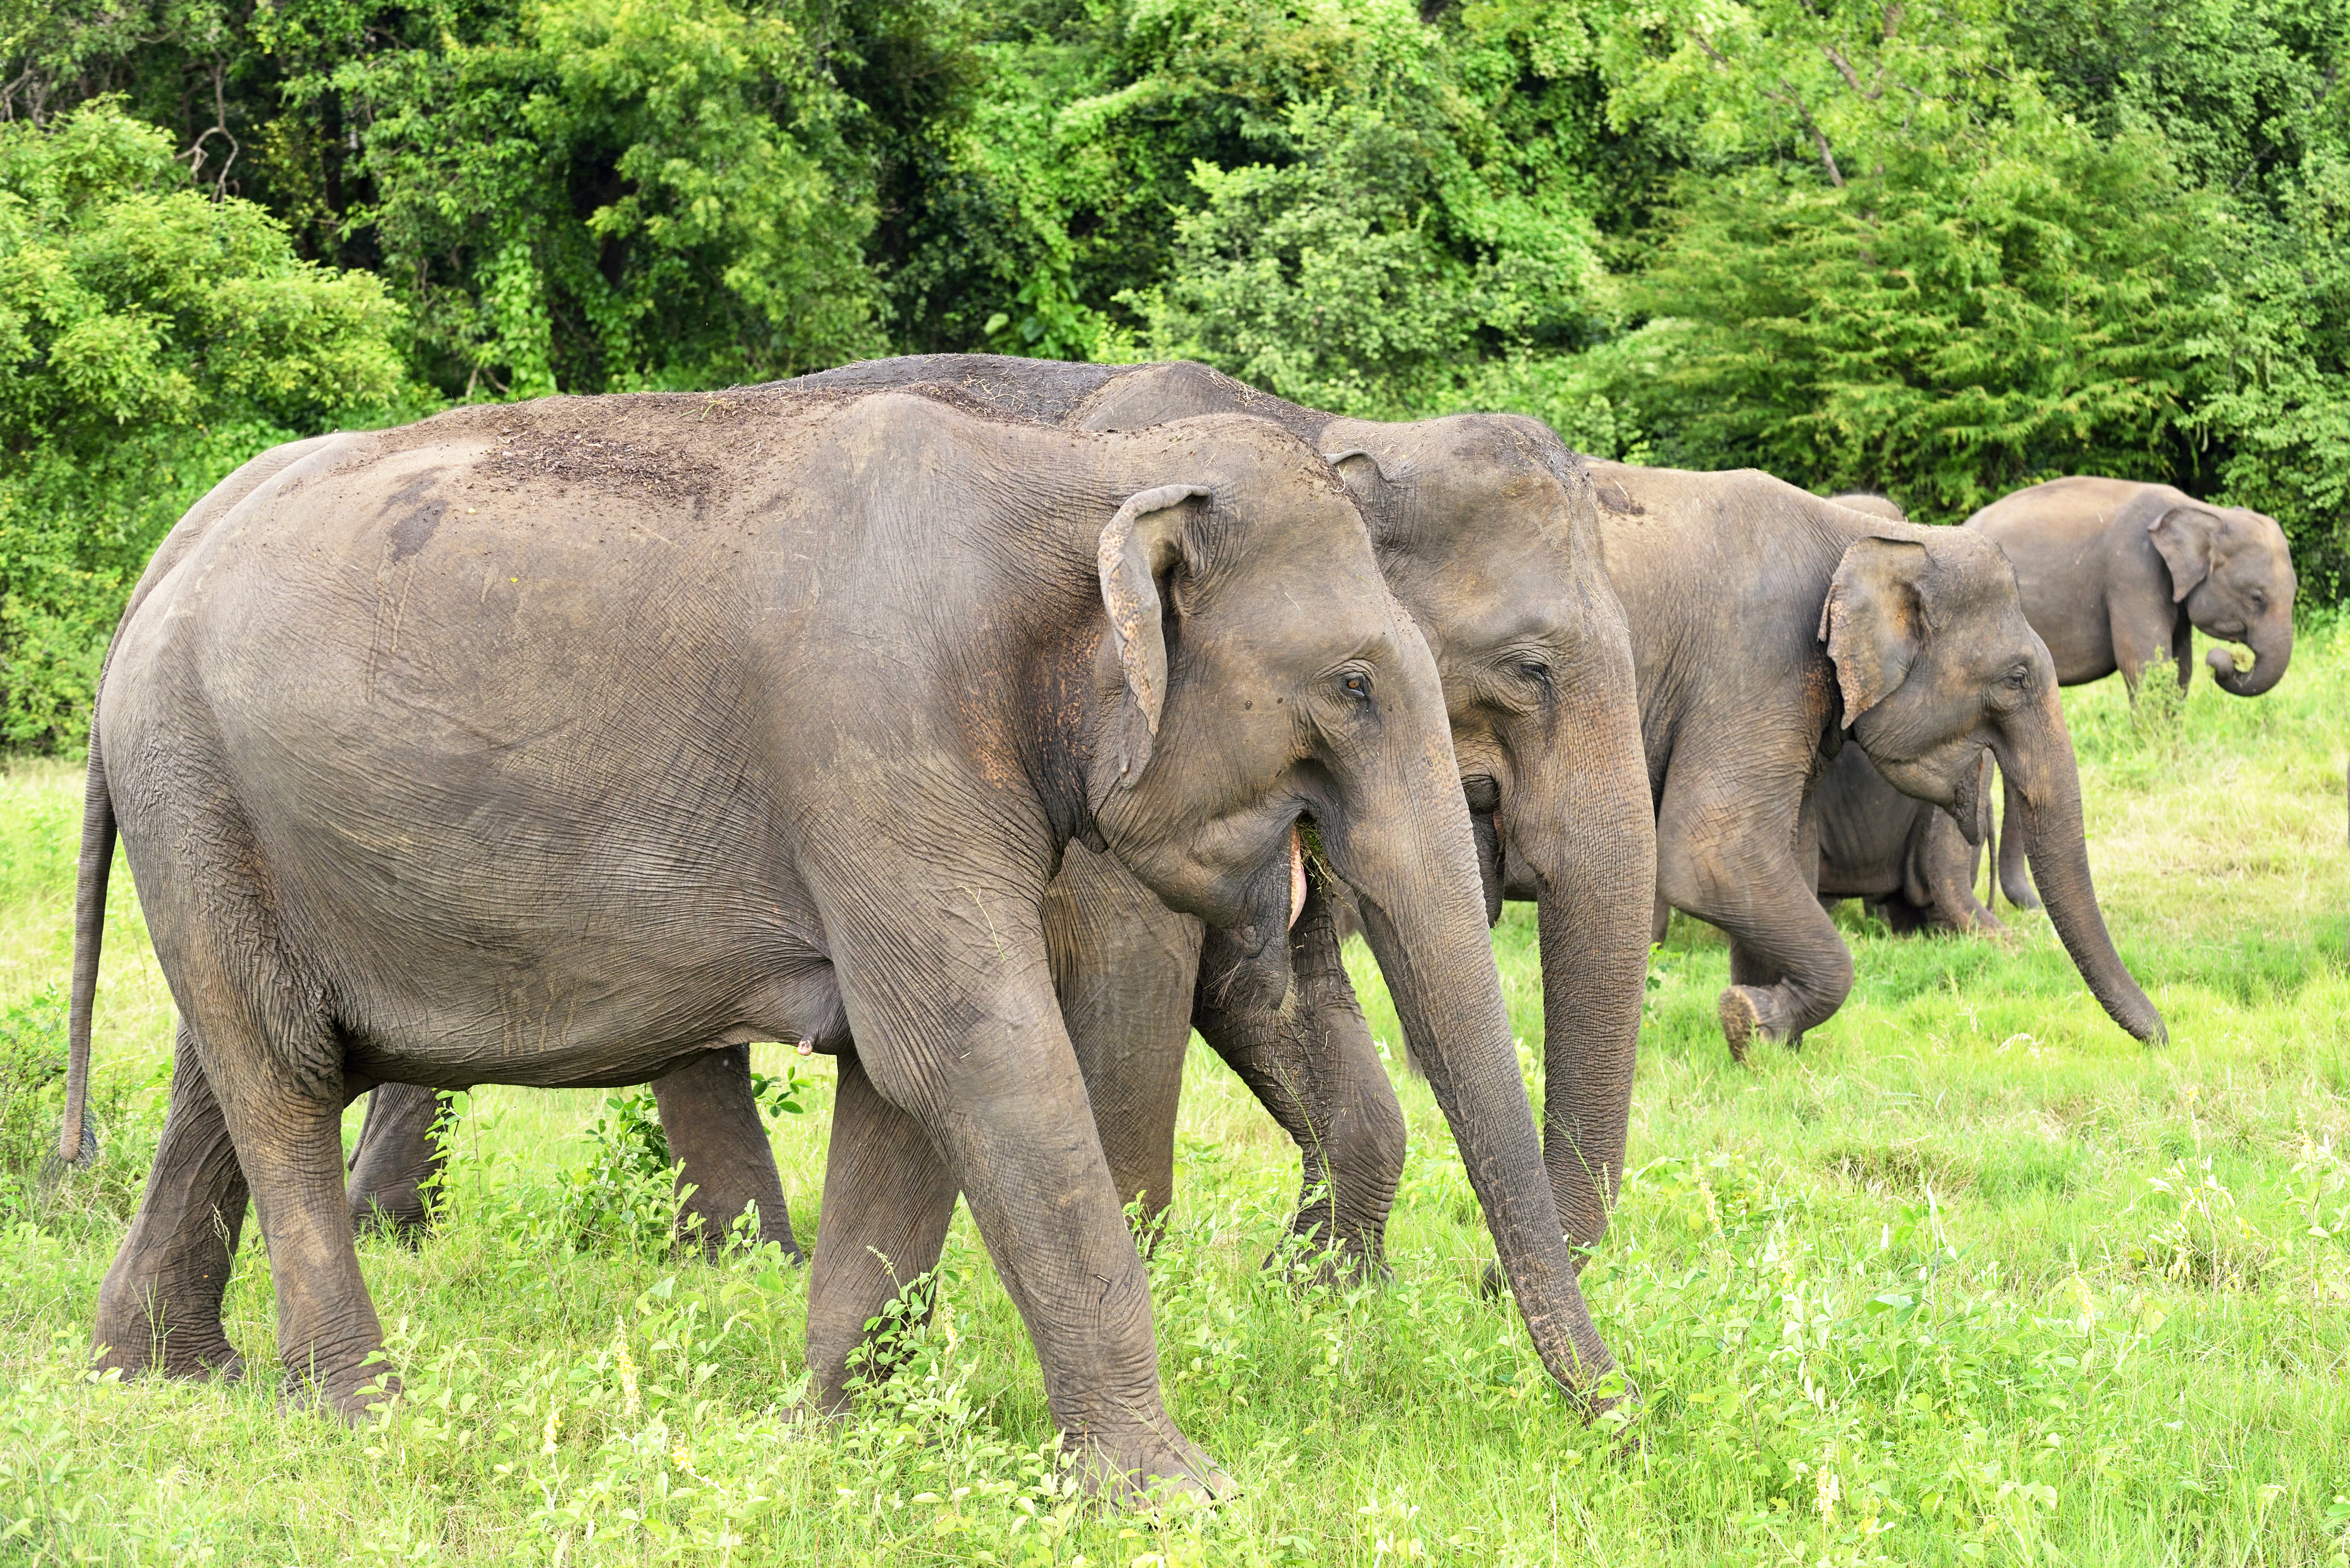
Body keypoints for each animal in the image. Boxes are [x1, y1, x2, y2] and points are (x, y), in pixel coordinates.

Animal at [62, 385, 1617, 1496]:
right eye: (1350, 685)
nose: (1616, 1419)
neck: (1069, 471)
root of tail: (158, 565)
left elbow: (902, 1084)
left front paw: (829, 1437)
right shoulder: (877, 742)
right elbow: (974, 1056)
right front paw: (1180, 1494)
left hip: (227, 821)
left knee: (235, 1065)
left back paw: (163, 1375)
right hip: (197, 786)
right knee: (277, 1079)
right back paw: (358, 1405)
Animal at [1966, 477, 2297, 909]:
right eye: (2257, 596)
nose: (2225, 662)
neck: (2204, 512)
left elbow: (2180, 669)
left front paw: (2171, 747)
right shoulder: (2134, 573)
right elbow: (2144, 664)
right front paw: (2153, 748)